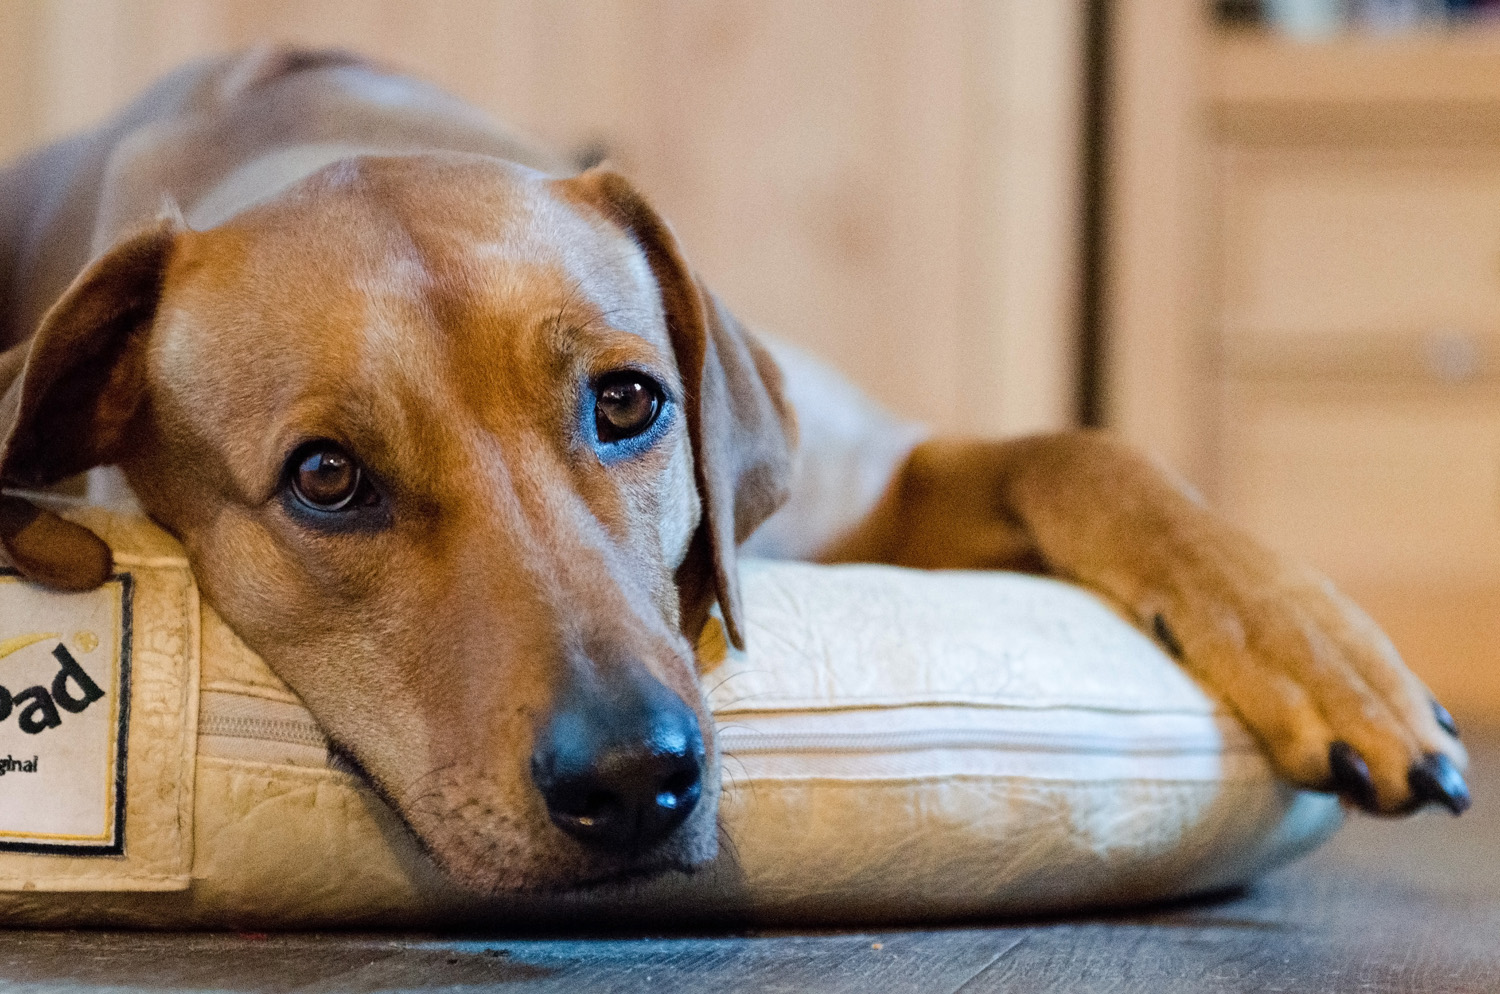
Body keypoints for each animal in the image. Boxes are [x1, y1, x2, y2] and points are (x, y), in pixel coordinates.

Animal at [0, 48, 1464, 893]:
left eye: (627, 400)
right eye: (325, 478)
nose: (629, 780)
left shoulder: (870, 480)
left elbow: (1082, 446)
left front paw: (1327, 655)